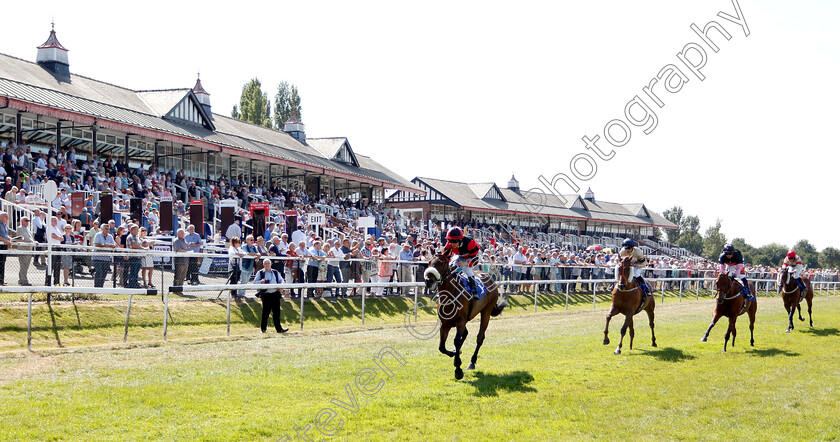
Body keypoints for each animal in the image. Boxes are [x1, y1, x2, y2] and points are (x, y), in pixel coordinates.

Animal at [426, 254, 506, 382]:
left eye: (441, 263)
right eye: (429, 262)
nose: (429, 281)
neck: (450, 294)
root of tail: (489, 277)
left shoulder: (460, 321)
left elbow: (456, 341)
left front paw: (458, 369)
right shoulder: (445, 323)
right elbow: (442, 347)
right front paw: (454, 354)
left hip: (486, 312)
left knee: (480, 337)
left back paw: (472, 362)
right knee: (466, 334)